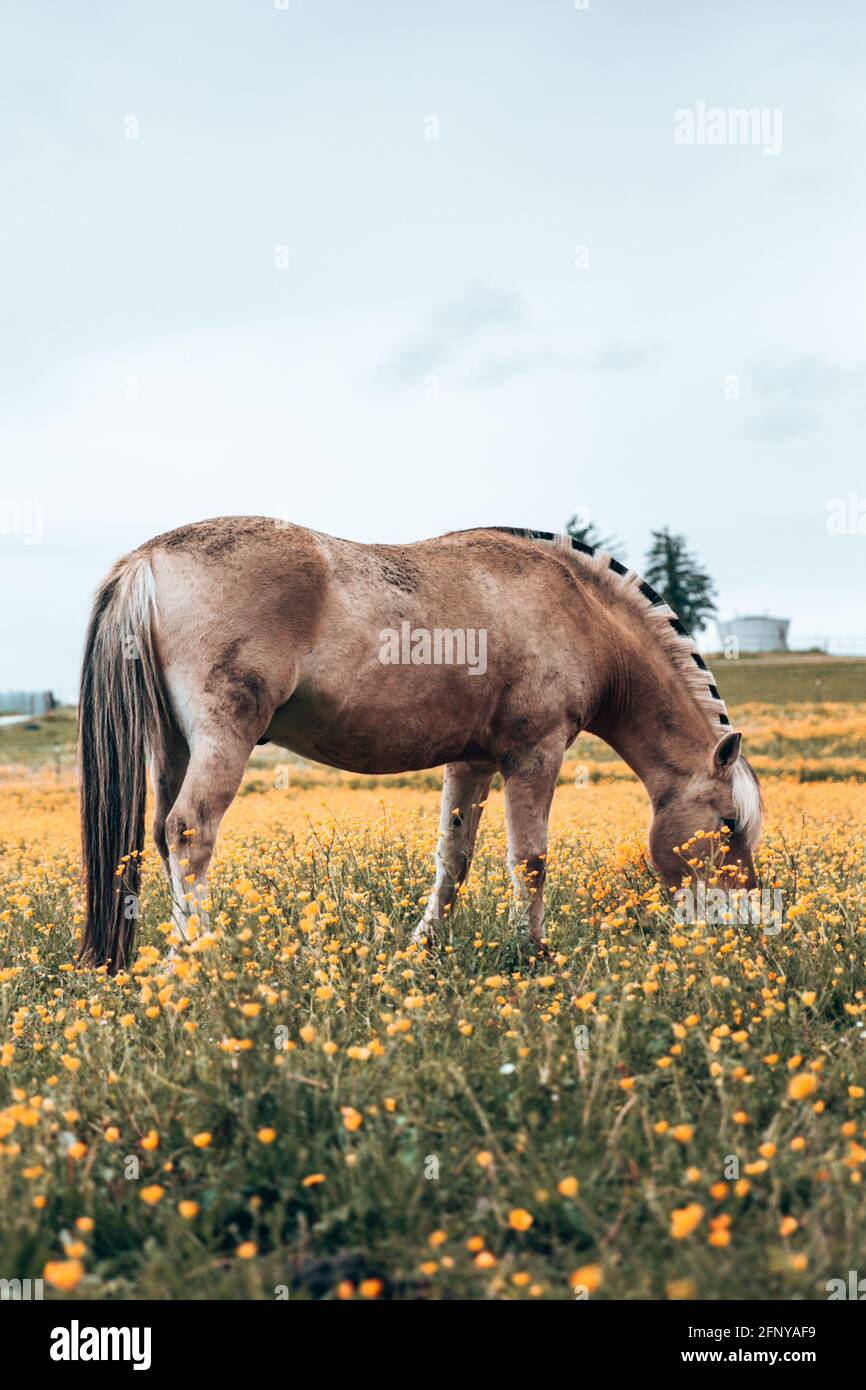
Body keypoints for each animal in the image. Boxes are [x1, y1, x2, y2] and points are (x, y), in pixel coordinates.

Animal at [77, 517, 761, 973]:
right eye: (728, 824)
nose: (748, 921)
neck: (577, 609)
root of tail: (148, 558)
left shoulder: (473, 762)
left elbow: (453, 860)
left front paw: (423, 947)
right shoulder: (534, 755)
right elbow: (530, 860)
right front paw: (533, 953)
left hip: (172, 747)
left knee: (160, 833)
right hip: (224, 738)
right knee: (188, 832)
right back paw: (198, 961)